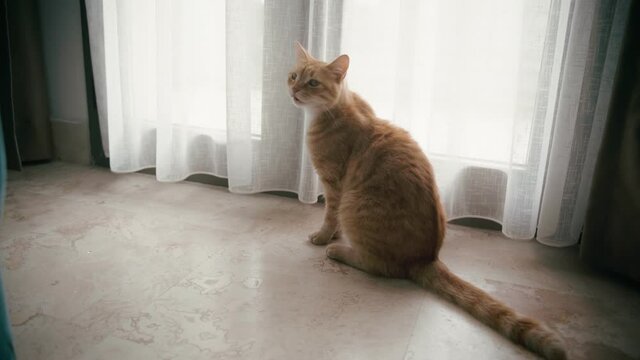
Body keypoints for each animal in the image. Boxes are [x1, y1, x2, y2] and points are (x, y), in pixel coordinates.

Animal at [288, 43, 564, 360]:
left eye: (312, 82)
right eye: (293, 76)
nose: (293, 90)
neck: (335, 109)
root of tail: (427, 256)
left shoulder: (334, 186)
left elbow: (329, 216)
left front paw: (324, 237)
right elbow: (332, 222)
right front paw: (333, 234)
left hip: (353, 206)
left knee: (381, 266)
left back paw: (339, 251)